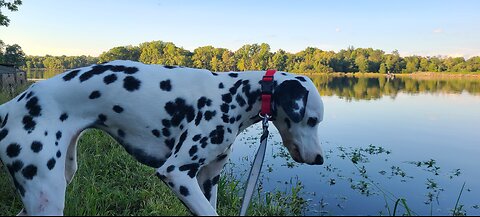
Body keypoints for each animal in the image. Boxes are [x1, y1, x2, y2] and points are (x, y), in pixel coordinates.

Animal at [0, 59, 326, 215]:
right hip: (46, 195)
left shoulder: (208, 179)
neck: (234, 95)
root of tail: (12, 105)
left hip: (57, 179)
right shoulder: (176, 173)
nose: (320, 159)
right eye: (312, 120)